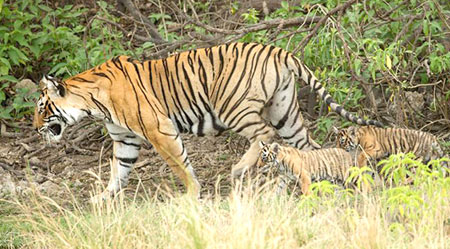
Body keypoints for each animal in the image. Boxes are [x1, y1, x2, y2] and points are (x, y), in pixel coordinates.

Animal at [33, 41, 382, 199]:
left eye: (41, 107)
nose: (36, 129)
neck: (92, 102)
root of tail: (277, 50)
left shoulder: (159, 130)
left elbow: (179, 163)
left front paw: (192, 193)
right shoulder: (125, 139)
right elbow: (119, 170)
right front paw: (104, 198)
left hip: (235, 107)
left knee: (265, 136)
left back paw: (240, 169)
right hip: (285, 113)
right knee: (303, 148)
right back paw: (298, 187)